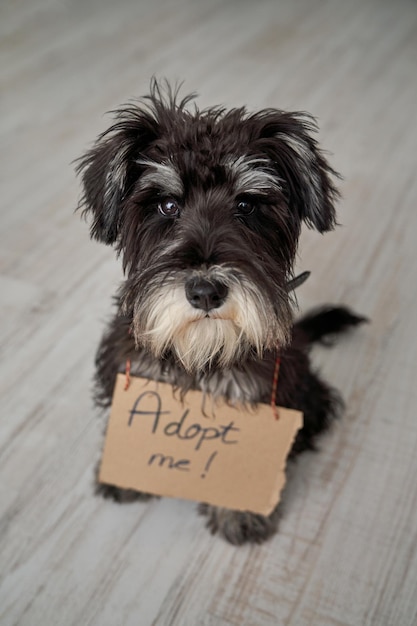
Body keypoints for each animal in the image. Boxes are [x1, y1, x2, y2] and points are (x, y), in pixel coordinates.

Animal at [76, 81, 366, 540]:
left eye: (246, 205)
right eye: (167, 205)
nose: (205, 291)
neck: (200, 353)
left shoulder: (255, 395)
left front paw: (240, 513)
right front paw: (122, 475)